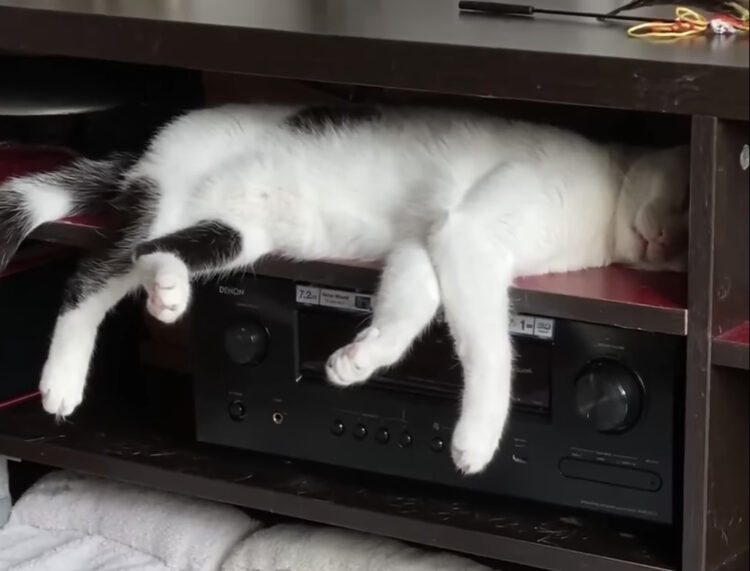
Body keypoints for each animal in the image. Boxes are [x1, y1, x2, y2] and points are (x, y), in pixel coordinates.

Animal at [0, 104, 689, 475]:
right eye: (681, 212)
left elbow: (410, 306)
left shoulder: (427, 241)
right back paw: (62, 383)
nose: (665, 245)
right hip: (164, 200)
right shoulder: (470, 233)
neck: (604, 213)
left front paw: (358, 360)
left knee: (152, 256)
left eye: (687, 250)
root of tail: (148, 144)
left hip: (235, 231)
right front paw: (476, 438)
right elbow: (492, 351)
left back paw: (168, 292)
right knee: (94, 274)